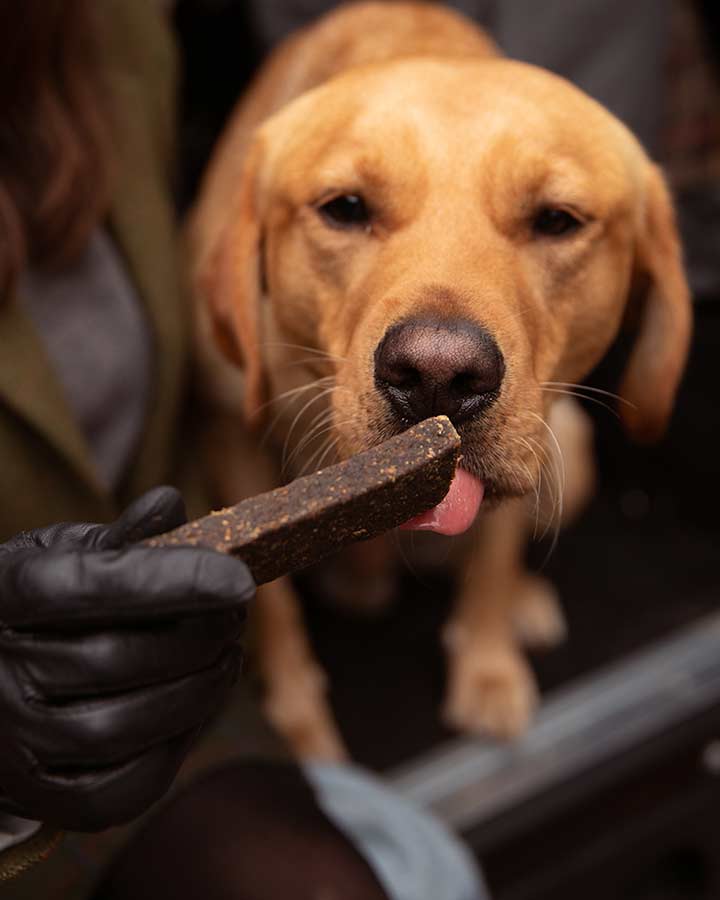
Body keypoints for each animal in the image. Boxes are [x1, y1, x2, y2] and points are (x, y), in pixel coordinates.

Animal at [188, 0, 696, 760]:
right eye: (344, 208)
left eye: (557, 220)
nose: (437, 375)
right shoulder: (227, 441)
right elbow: (273, 609)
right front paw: (301, 730)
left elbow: (491, 562)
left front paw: (487, 668)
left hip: (573, 453)